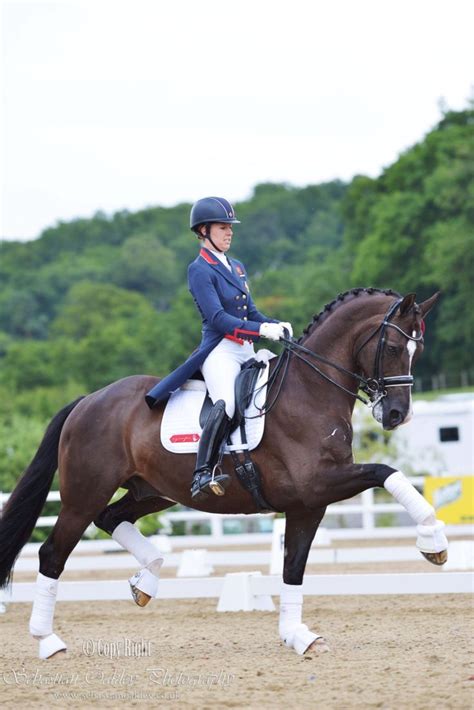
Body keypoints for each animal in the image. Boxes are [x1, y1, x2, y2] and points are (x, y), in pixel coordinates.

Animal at [0, 288, 448, 660]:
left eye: (419, 349)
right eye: (394, 346)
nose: (397, 415)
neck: (309, 391)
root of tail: (87, 401)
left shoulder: (309, 504)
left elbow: (293, 568)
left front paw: (298, 636)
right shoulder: (319, 483)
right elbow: (386, 471)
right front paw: (434, 541)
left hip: (153, 491)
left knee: (111, 518)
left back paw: (146, 582)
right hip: (84, 494)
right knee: (53, 553)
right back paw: (48, 640)